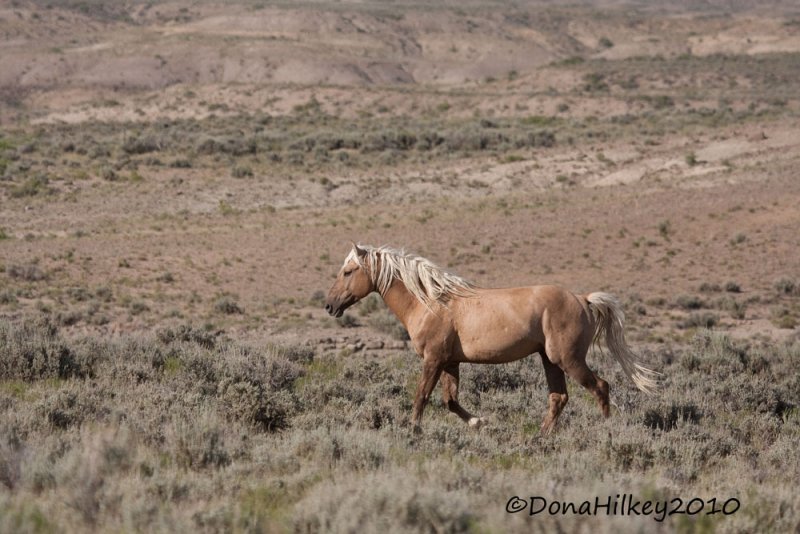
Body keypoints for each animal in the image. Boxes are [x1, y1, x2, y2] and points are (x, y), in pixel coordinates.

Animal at [322, 246, 660, 436]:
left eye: (348, 271)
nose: (329, 305)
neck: (430, 301)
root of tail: (584, 299)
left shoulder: (433, 359)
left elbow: (421, 397)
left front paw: (413, 432)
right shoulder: (450, 362)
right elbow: (450, 401)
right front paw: (480, 423)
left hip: (568, 358)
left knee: (600, 387)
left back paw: (605, 431)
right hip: (549, 359)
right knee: (558, 398)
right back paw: (540, 437)